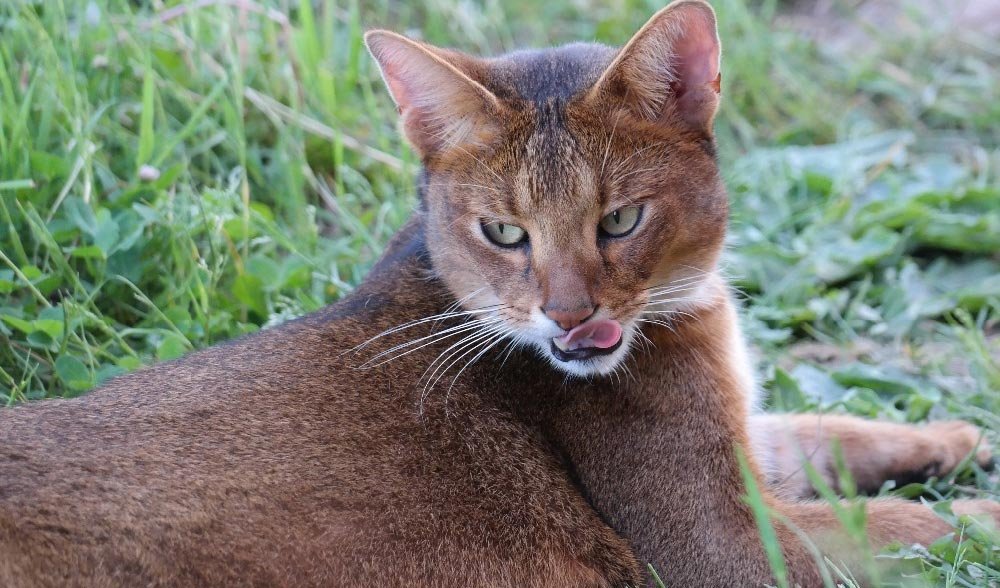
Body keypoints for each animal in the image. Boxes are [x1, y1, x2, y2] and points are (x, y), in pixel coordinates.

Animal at [0, 2, 996, 584]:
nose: (570, 315)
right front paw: (978, 510)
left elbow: (824, 432)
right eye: (506, 232)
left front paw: (954, 435)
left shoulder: (743, 443)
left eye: (619, 219)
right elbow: (898, 526)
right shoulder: (720, 542)